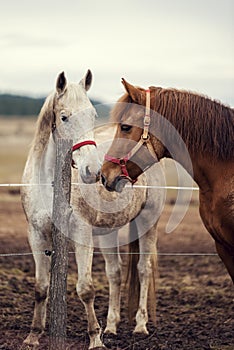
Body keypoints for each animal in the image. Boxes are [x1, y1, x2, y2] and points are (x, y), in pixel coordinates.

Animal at [21, 71, 165, 350]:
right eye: (64, 117)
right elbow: (41, 287)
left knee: (143, 269)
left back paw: (140, 325)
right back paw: (111, 326)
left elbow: (85, 288)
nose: (94, 171)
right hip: (108, 233)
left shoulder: (81, 233)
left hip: (147, 223)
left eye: (93, 115)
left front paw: (95, 339)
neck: (47, 183)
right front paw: (33, 335)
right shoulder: (36, 234)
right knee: (115, 273)